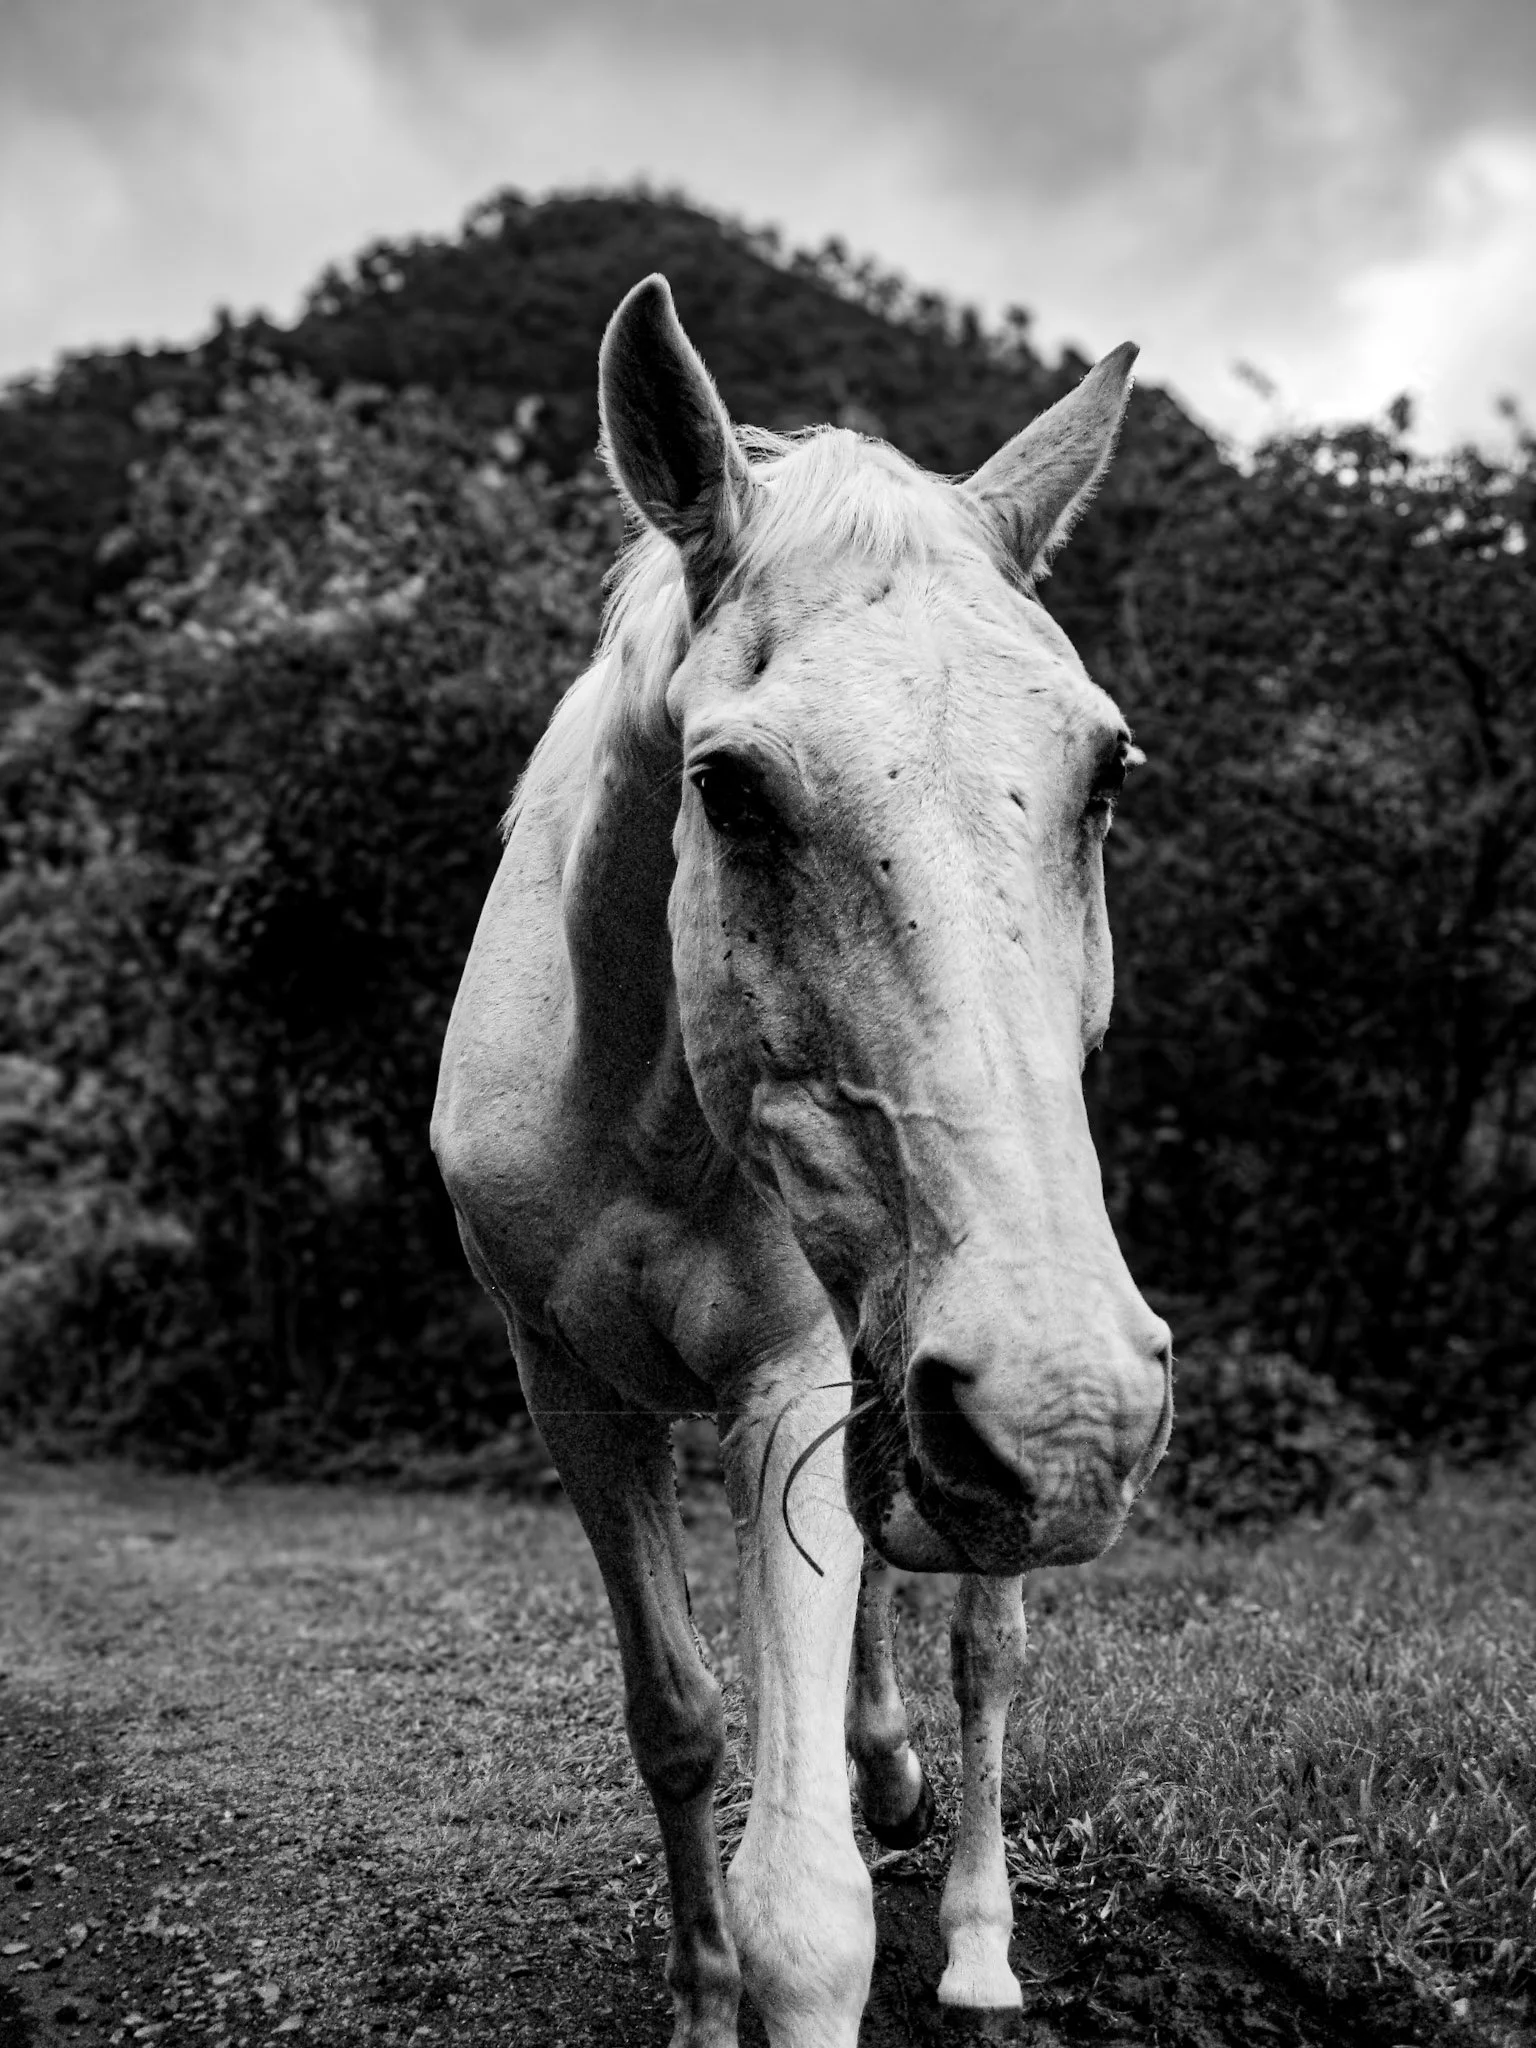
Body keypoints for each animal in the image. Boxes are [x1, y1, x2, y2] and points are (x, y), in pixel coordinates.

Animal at [432, 275, 1173, 2048]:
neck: (640, 1115)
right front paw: (701, 2002)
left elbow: (809, 1903)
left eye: (1105, 774)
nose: (1065, 1410)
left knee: (987, 1642)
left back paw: (975, 1939)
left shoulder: (794, 1374)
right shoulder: (578, 1395)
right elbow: (680, 1722)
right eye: (730, 788)